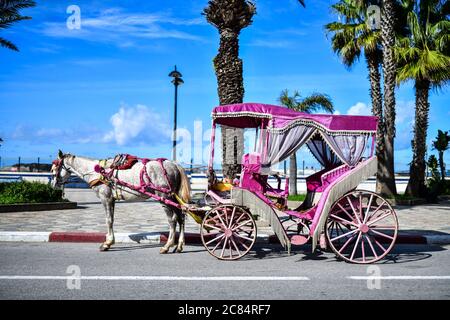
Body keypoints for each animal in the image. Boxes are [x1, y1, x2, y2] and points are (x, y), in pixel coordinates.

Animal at [51, 151, 192, 254]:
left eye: (54, 169)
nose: (53, 185)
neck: (97, 171)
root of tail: (174, 165)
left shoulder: (105, 198)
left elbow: (108, 220)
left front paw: (107, 243)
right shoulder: (111, 199)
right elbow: (112, 219)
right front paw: (109, 241)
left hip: (164, 197)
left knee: (172, 220)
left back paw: (167, 246)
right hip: (173, 198)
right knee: (181, 217)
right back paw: (179, 246)